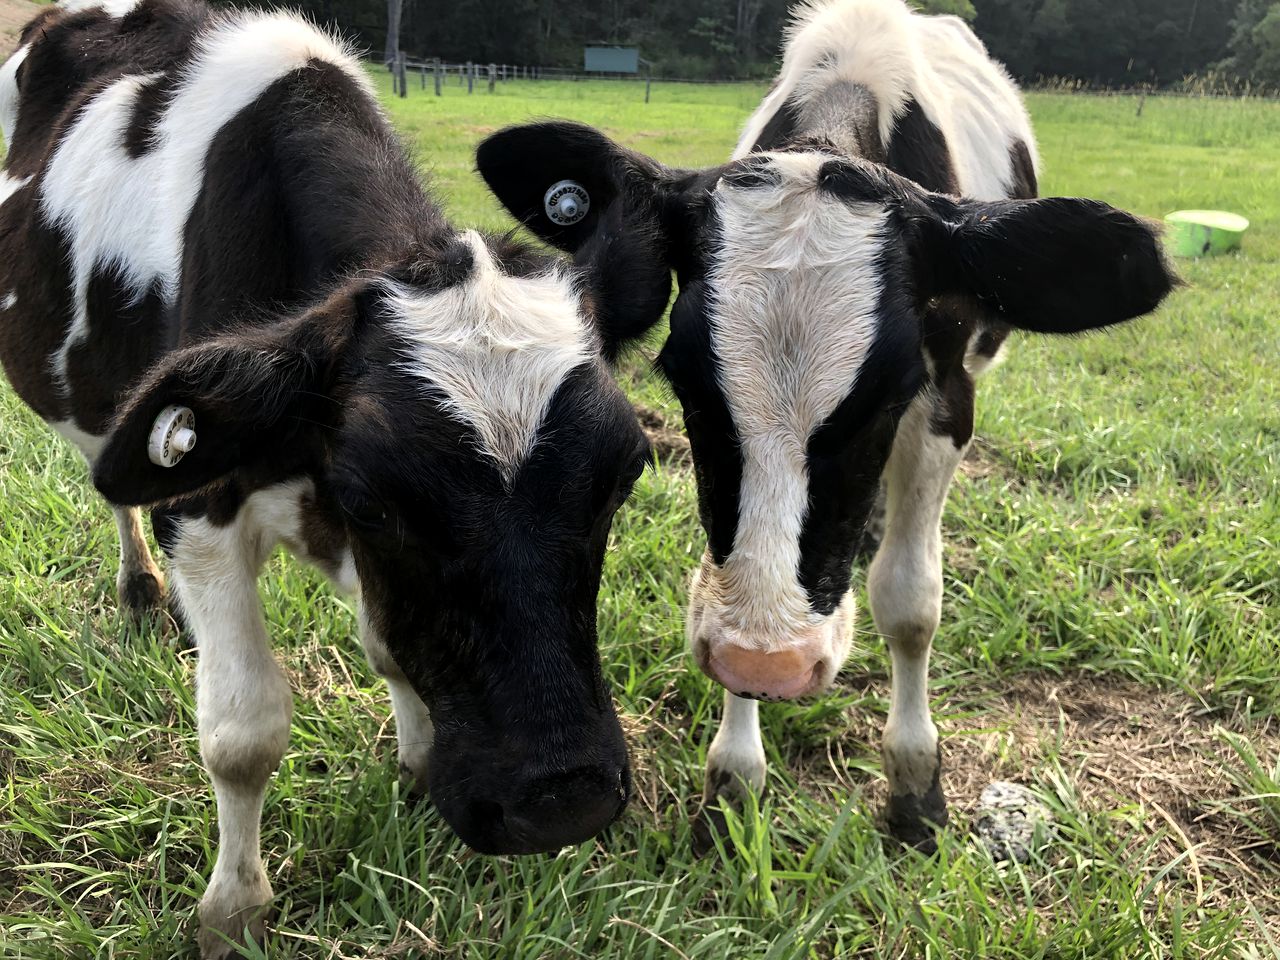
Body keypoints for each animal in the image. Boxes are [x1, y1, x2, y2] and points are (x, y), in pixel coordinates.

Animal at [0, 0, 660, 952]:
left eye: (625, 475)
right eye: (372, 501)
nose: (560, 802)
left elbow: (388, 642)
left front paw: (418, 763)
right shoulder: (199, 503)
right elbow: (243, 733)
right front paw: (233, 909)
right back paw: (141, 590)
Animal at [476, 0, 1172, 849]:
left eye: (891, 391)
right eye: (683, 379)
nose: (774, 663)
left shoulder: (945, 400)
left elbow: (909, 600)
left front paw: (915, 782)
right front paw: (734, 777)